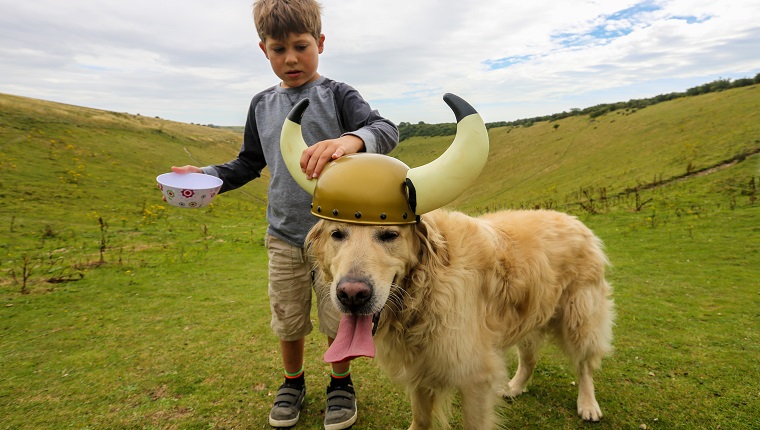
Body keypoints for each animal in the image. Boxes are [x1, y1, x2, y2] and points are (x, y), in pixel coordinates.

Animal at [306, 207, 616, 426]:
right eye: (337, 234)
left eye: (389, 235)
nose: (351, 295)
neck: (426, 288)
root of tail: (576, 221)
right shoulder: (419, 366)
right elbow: (421, 418)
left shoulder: (475, 378)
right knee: (529, 358)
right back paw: (515, 387)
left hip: (580, 317)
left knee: (585, 365)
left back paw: (588, 404)